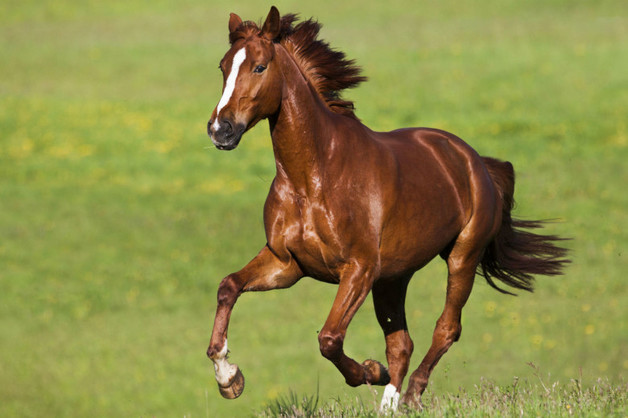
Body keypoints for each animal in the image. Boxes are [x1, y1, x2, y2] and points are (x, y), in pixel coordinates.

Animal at [204, 7, 568, 412]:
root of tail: (477, 163)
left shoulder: (359, 269)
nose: (220, 129)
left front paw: (369, 370)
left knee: (446, 329)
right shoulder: (287, 264)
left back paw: (409, 394)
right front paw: (229, 379)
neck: (313, 178)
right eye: (222, 66)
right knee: (401, 344)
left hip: (461, 257)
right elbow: (229, 286)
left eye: (259, 67)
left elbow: (329, 338)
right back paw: (390, 402)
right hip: (394, 277)